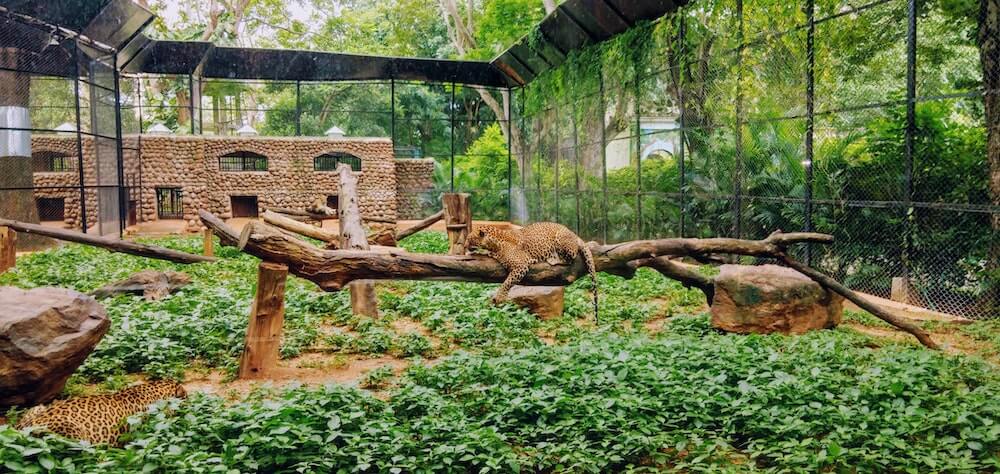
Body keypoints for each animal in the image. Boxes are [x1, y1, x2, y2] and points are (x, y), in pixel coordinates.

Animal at [466, 221, 596, 318]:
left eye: (469, 239)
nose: (464, 245)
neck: (494, 244)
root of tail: (574, 233)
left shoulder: (521, 266)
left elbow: (507, 282)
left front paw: (499, 297)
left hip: (562, 239)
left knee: (571, 257)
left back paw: (554, 259)